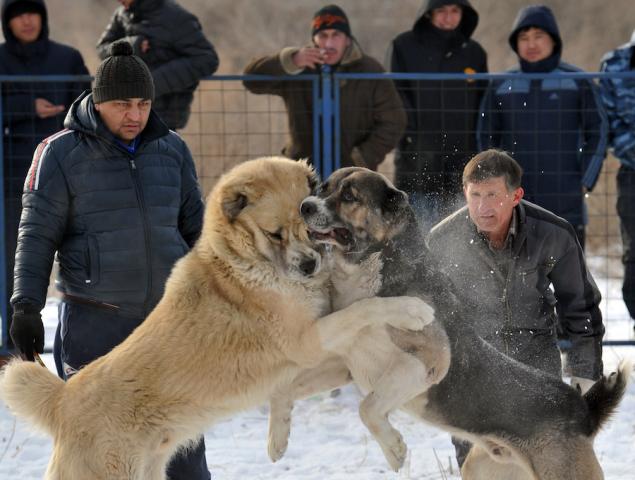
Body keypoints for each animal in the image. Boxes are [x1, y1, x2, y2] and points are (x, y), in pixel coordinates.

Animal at [0, 156, 432, 478]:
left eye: (308, 227)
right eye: (274, 234)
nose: (310, 266)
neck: (251, 260)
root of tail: (63, 399)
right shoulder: (306, 340)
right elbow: (365, 308)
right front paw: (413, 311)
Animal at [268, 166, 632, 480]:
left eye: (349, 196)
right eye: (324, 188)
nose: (304, 206)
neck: (369, 270)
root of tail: (583, 410)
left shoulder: (428, 362)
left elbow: (367, 407)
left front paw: (395, 450)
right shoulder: (345, 363)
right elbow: (283, 390)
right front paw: (277, 441)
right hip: (483, 468)